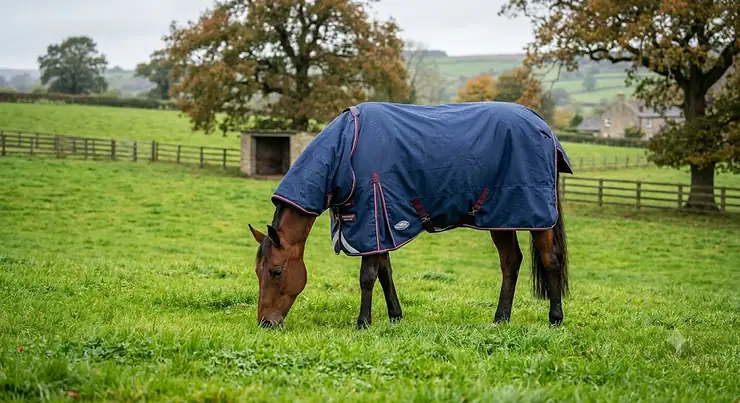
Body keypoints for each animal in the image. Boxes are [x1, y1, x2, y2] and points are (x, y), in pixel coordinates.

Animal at [248, 101, 573, 329]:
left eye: (276, 271)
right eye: (257, 272)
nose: (266, 322)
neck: (345, 151)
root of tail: (543, 127)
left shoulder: (373, 217)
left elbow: (367, 276)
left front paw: (363, 323)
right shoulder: (381, 225)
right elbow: (384, 272)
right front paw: (395, 316)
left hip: (535, 216)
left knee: (550, 260)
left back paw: (555, 318)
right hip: (501, 218)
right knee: (511, 262)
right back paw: (500, 318)